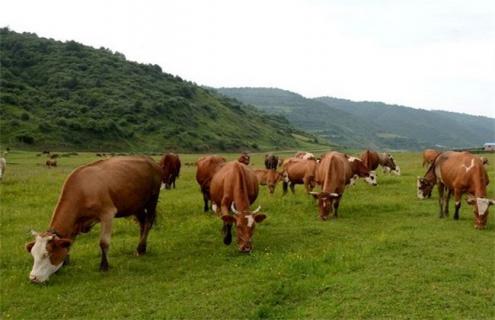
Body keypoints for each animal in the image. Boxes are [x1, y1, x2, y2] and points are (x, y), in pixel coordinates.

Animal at [25, 156, 162, 284]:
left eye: (46, 254)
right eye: (33, 254)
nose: (33, 278)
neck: (83, 189)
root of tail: (149, 159)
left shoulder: (107, 214)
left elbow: (104, 243)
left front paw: (104, 266)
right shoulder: (76, 223)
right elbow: (69, 242)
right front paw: (65, 262)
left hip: (152, 199)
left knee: (148, 222)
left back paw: (140, 248)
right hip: (136, 205)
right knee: (142, 223)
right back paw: (142, 248)